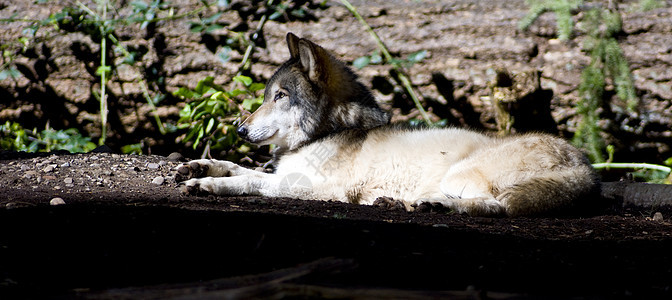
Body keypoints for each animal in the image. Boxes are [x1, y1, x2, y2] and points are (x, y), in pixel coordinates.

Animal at [175, 32, 600, 216]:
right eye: (266, 96)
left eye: (279, 96)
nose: (240, 130)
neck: (330, 131)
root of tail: (585, 167)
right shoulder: (285, 173)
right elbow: (241, 168)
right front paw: (199, 166)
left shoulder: (313, 188)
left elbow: (251, 182)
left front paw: (209, 185)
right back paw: (405, 202)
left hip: (461, 175)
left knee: (495, 206)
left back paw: (435, 205)